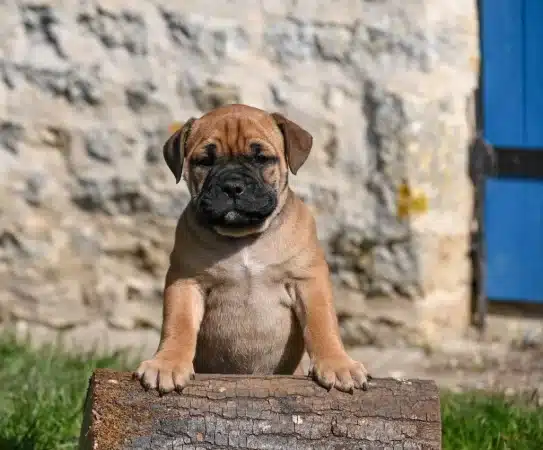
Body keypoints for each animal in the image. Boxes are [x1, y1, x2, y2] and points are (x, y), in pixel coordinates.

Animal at [134, 103, 372, 392]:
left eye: (262, 159)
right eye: (204, 161)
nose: (232, 186)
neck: (243, 238)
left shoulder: (308, 280)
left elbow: (322, 323)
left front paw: (338, 364)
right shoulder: (186, 281)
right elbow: (178, 324)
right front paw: (166, 364)